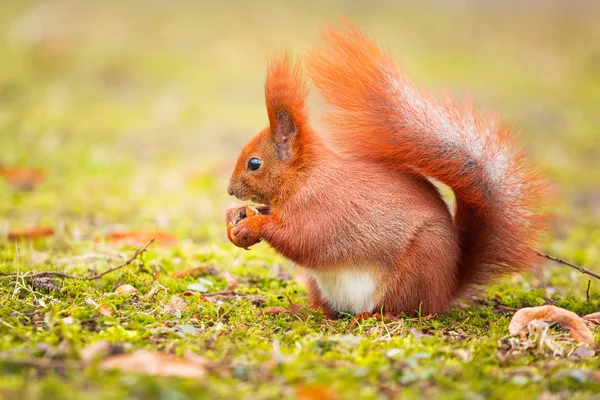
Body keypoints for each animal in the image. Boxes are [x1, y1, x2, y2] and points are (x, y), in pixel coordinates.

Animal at [224, 24, 548, 318]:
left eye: (254, 163)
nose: (230, 190)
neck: (304, 176)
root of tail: (445, 290)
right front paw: (235, 216)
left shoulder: (323, 208)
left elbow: (301, 238)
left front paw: (254, 225)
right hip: (322, 287)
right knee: (328, 311)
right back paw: (293, 310)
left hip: (413, 270)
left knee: (406, 310)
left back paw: (373, 316)